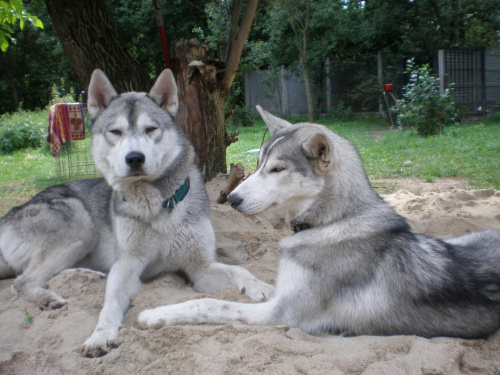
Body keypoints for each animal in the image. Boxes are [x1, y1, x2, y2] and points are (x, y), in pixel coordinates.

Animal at [0, 71, 274, 358]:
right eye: (115, 132)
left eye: (151, 129)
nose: (134, 158)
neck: (158, 207)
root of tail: (6, 217)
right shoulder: (129, 264)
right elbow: (110, 302)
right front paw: (100, 336)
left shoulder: (200, 267)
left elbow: (240, 271)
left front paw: (264, 288)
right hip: (80, 226)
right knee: (22, 282)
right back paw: (48, 298)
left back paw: (88, 276)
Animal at [140, 106, 500, 340]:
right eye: (259, 164)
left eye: (277, 169)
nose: (232, 199)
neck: (330, 222)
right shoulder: (282, 295)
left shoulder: (282, 314)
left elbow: (210, 305)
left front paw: (154, 314)